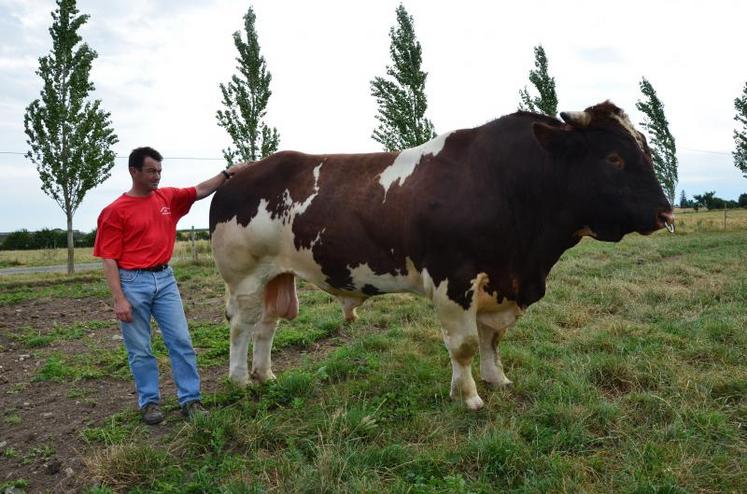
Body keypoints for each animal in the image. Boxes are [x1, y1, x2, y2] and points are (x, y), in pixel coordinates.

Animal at [207, 99, 676, 410]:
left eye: (645, 149)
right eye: (613, 157)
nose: (665, 212)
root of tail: (238, 174)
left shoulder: (499, 283)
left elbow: (491, 339)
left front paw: (496, 378)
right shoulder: (454, 279)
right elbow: (464, 344)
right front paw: (467, 396)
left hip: (277, 276)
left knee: (267, 326)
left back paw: (266, 375)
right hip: (244, 277)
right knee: (242, 326)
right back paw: (240, 381)